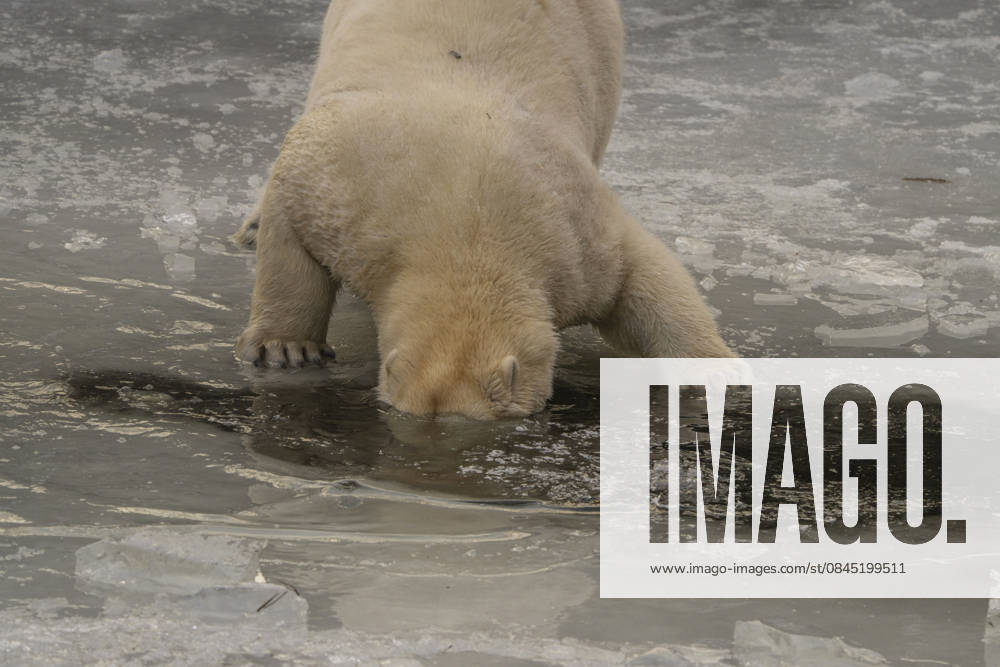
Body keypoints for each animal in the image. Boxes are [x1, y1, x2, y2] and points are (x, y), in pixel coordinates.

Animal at [234, 0, 734, 419]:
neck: (464, 214)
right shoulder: (340, 180)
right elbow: (289, 230)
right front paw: (287, 349)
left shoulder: (573, 231)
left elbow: (642, 278)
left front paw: (715, 369)